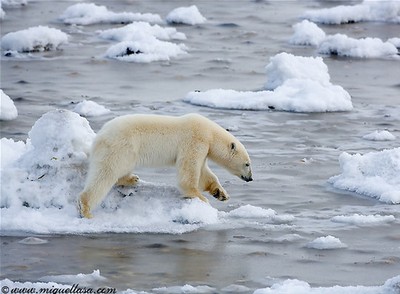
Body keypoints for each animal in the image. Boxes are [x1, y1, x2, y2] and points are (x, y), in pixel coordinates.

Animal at [78, 113, 253, 218]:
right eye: (247, 164)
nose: (250, 178)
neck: (210, 134)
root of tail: (99, 137)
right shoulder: (195, 141)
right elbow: (188, 173)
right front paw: (201, 198)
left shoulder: (203, 149)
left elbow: (204, 173)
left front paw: (221, 194)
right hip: (119, 147)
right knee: (105, 173)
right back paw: (85, 208)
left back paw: (131, 179)